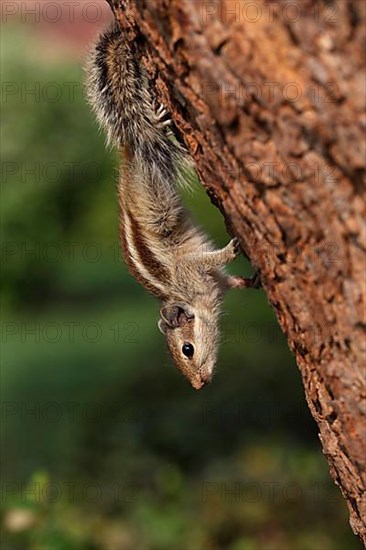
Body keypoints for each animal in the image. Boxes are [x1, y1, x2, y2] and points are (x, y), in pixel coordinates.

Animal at [86, 22, 258, 392]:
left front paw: (233, 250)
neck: (188, 297)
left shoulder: (190, 269)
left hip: (157, 203)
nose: (199, 385)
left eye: (187, 349)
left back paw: (159, 120)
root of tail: (128, 152)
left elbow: (207, 261)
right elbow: (229, 279)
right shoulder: (210, 281)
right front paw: (249, 279)